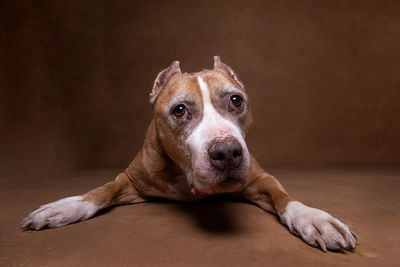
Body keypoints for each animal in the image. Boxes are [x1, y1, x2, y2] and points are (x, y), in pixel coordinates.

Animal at [20, 56, 358, 253]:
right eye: (180, 110)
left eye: (236, 100)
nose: (227, 152)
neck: (185, 177)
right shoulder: (129, 179)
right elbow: (101, 191)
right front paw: (65, 208)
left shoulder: (260, 179)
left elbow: (284, 197)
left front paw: (314, 218)